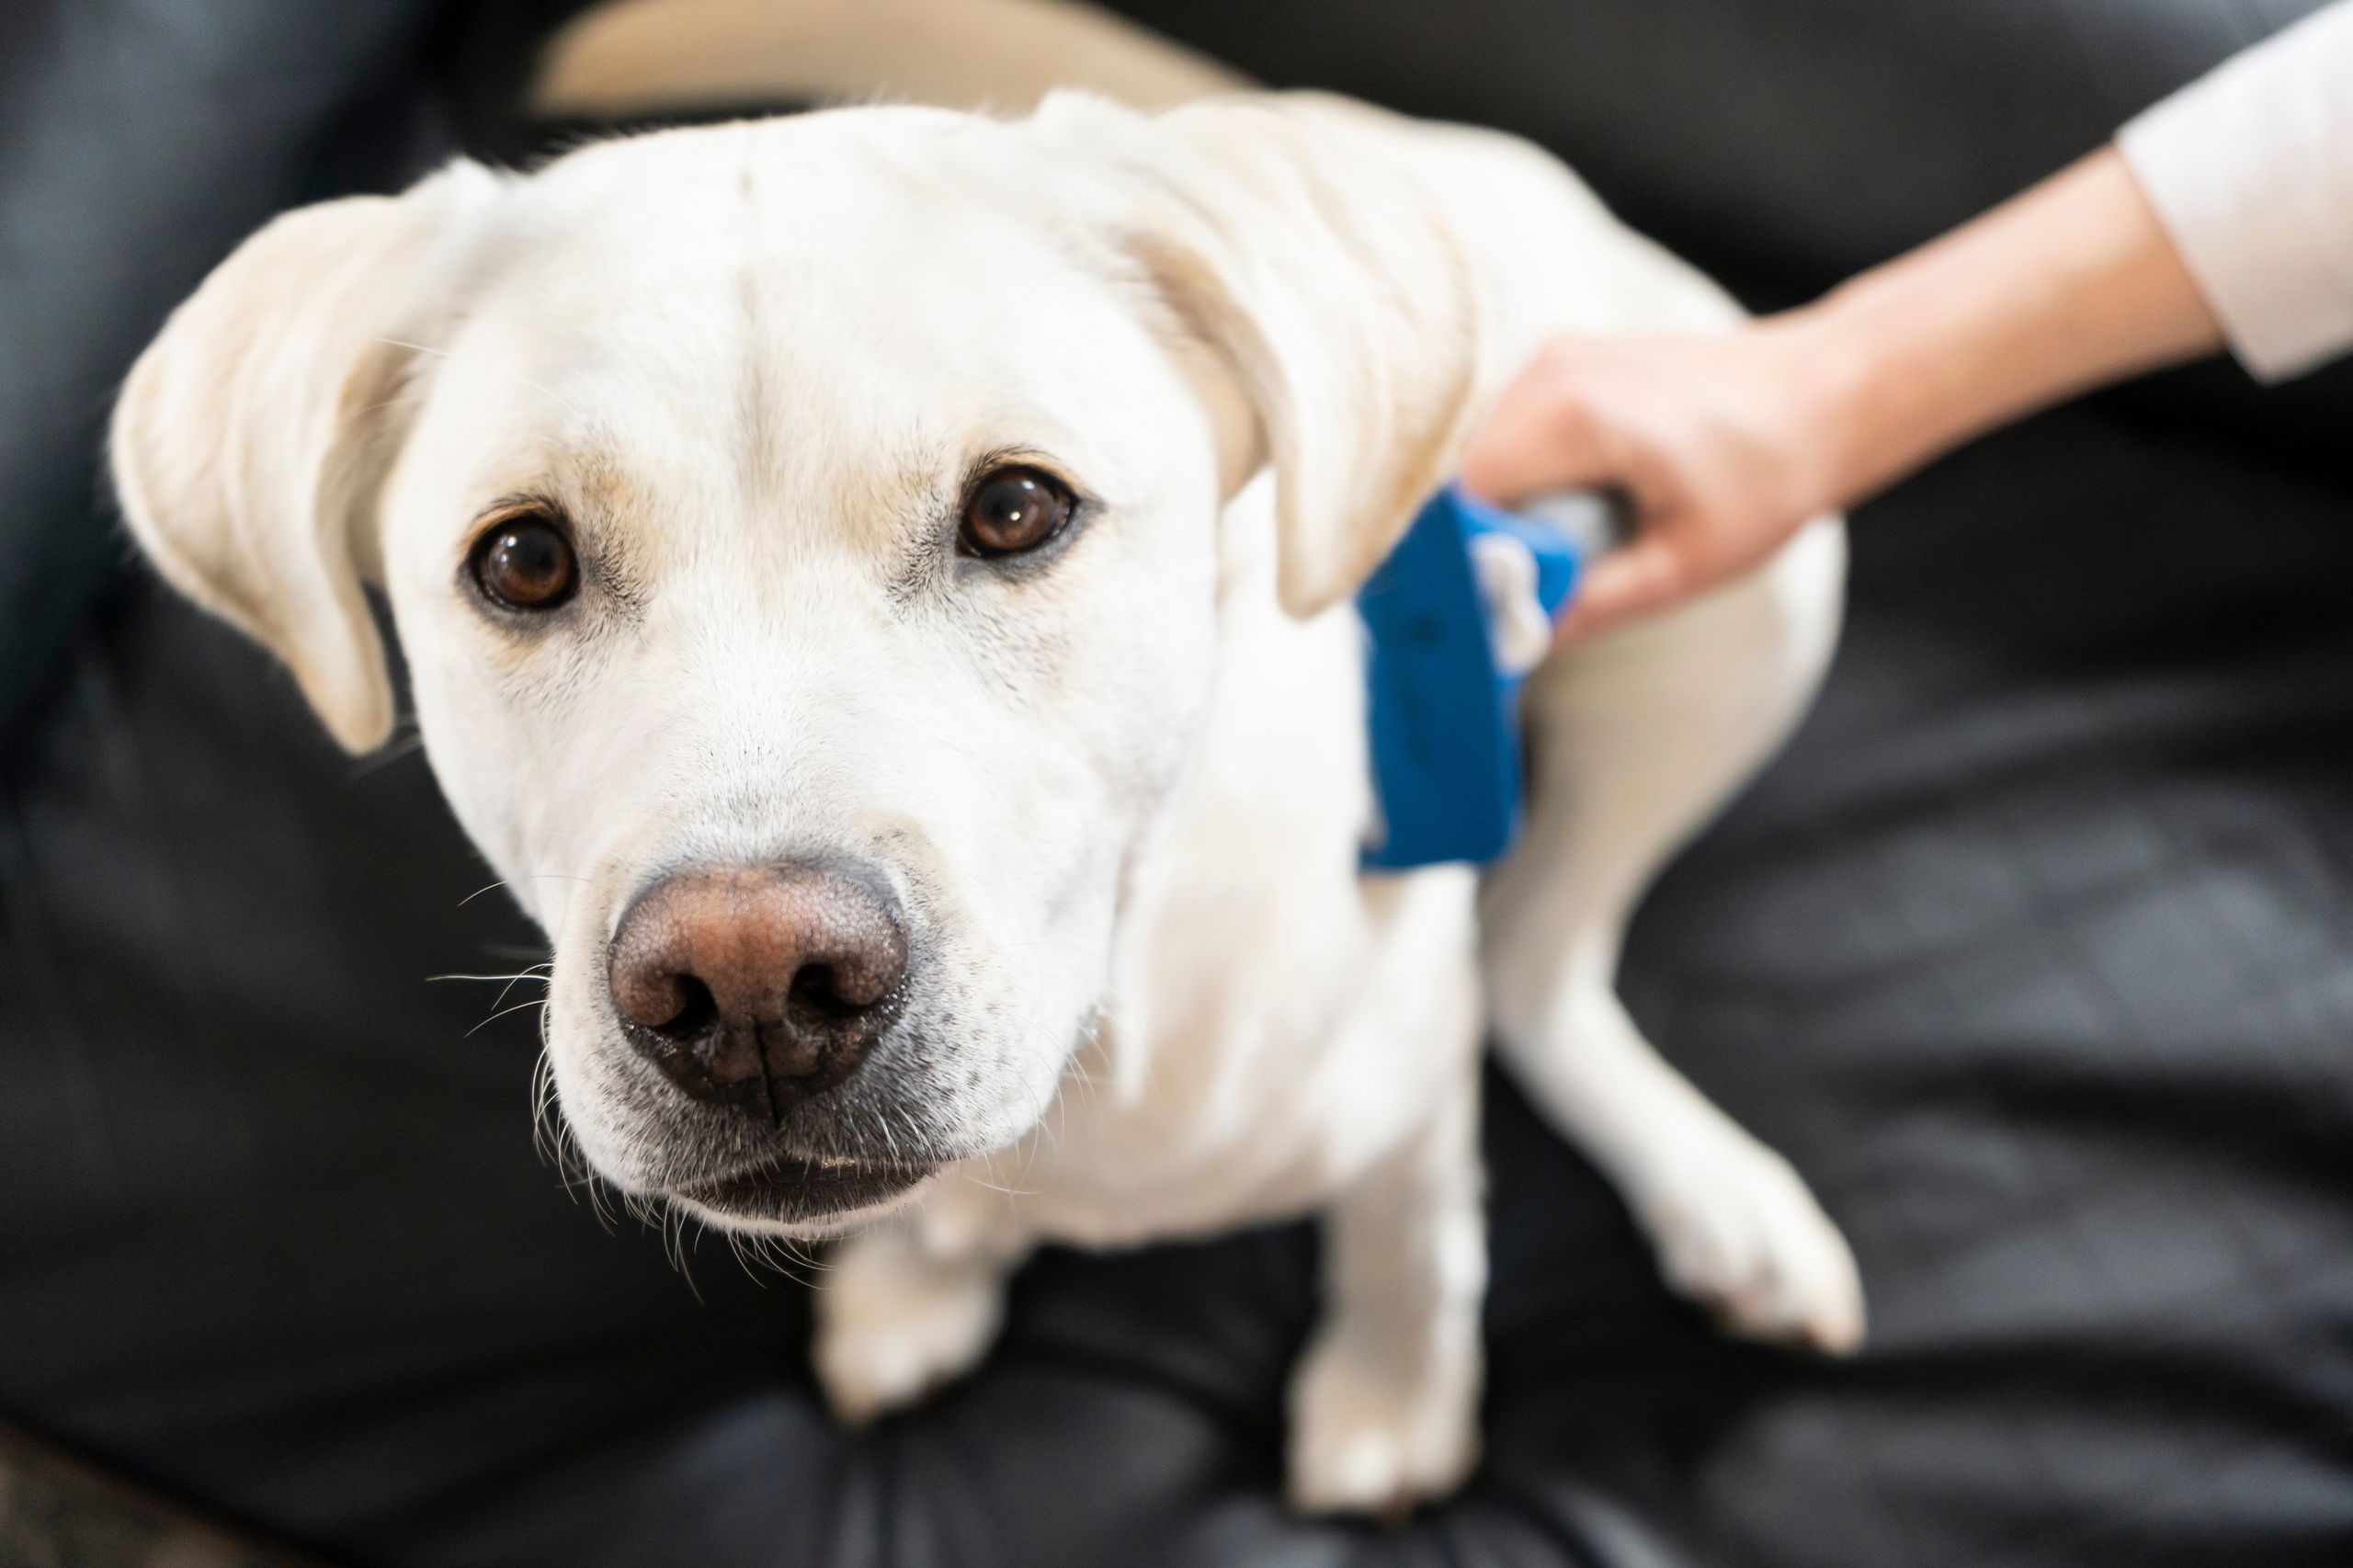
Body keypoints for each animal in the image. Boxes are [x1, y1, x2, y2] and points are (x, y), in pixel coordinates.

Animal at [110, 91, 1854, 1506]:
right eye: (524, 558)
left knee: (1542, 966)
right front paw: (924, 1278)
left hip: (1754, 606)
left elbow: (1411, 1237)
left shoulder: (1405, 1085)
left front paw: (1391, 1399)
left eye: (1017, 509)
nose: (752, 988)